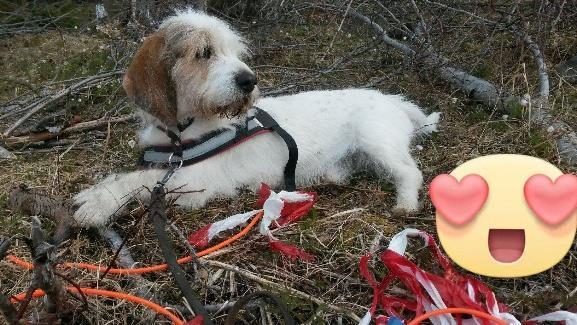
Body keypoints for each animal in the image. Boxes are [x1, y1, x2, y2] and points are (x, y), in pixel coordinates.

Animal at [74, 8, 438, 227]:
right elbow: (132, 174)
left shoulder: (197, 181)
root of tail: (394, 100)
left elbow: (138, 179)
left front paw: (97, 202)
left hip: (378, 142)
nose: (250, 81)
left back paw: (405, 204)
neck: (181, 133)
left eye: (235, 52)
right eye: (203, 52)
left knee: (410, 172)